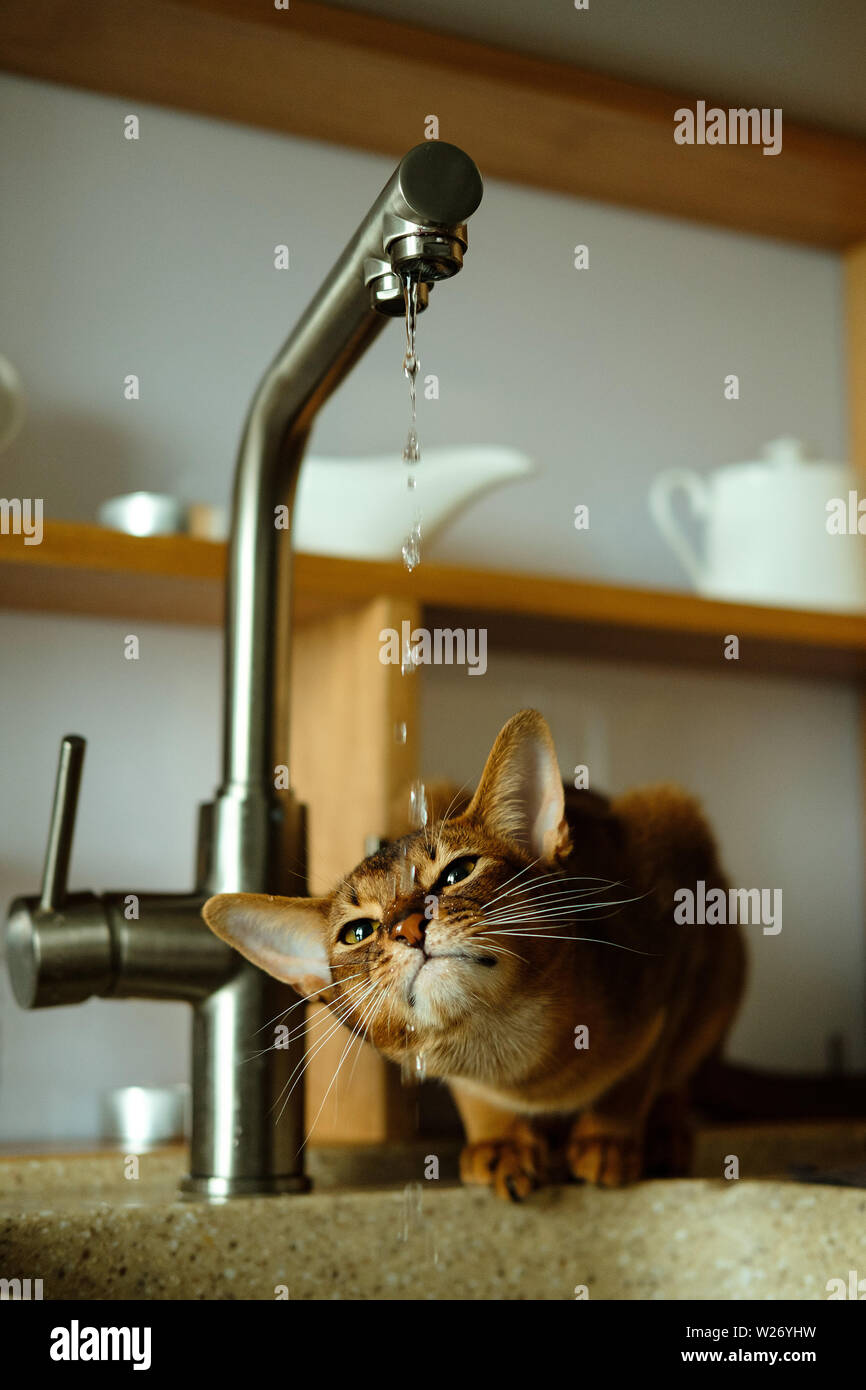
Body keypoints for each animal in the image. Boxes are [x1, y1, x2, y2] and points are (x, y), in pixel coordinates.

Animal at [201, 711, 745, 1200]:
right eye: (358, 932)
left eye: (456, 873)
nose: (408, 928)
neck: (516, 1059)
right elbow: (473, 1094)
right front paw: (500, 1141)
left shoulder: (671, 936)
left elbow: (641, 1070)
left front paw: (608, 1138)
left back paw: (664, 1136)